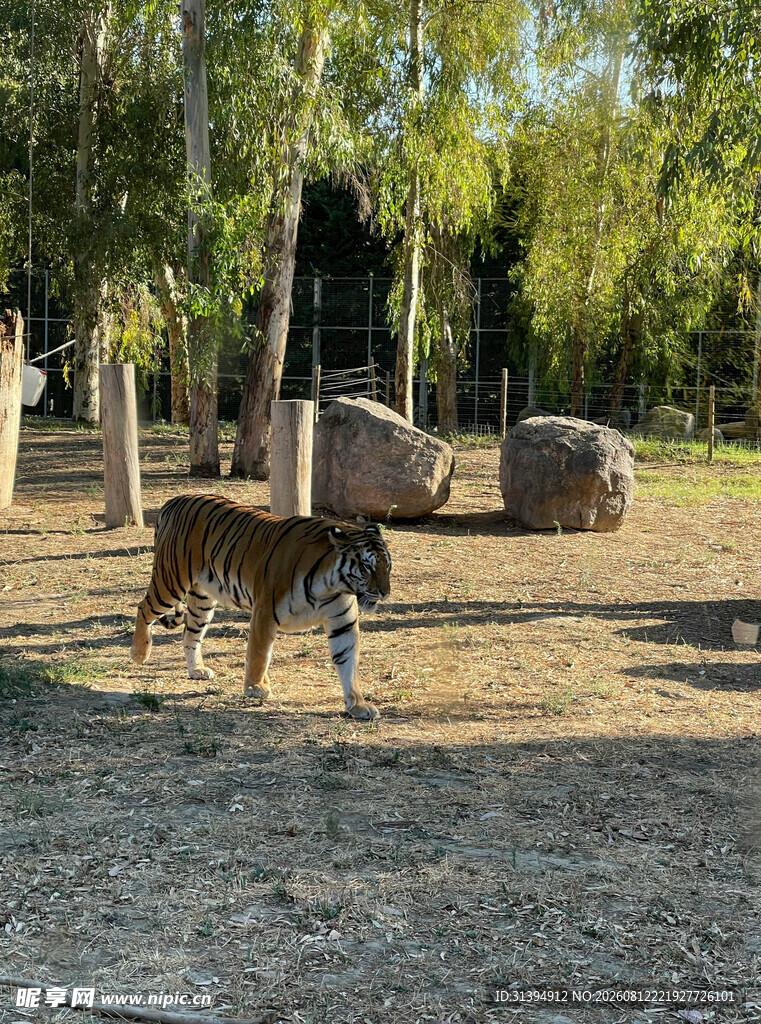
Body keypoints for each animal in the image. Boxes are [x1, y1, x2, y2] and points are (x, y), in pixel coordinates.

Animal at [130, 494, 392, 720]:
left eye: (387, 567)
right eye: (367, 567)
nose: (385, 593)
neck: (332, 585)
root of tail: (174, 501)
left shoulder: (342, 623)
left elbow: (348, 662)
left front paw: (358, 704)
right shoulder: (265, 612)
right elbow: (259, 652)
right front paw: (255, 687)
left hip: (202, 600)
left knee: (190, 633)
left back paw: (198, 671)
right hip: (170, 581)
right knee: (144, 607)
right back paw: (139, 653)